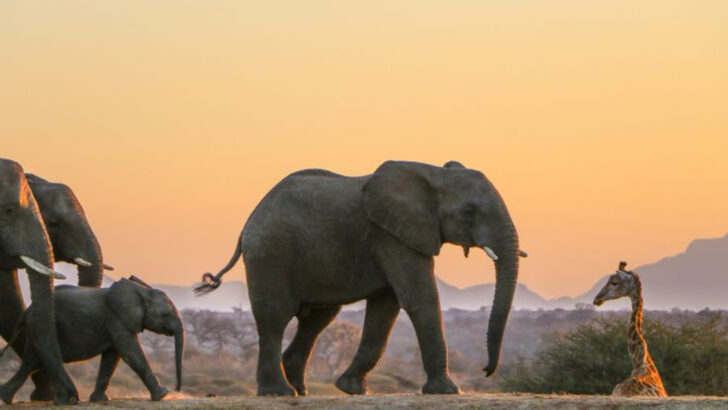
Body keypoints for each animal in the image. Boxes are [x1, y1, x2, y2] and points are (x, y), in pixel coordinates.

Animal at [0, 276, 184, 403]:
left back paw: (7, 397)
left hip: (37, 328)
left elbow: (112, 357)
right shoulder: (116, 317)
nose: (176, 389)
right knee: (38, 359)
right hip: (41, 325)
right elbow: (130, 353)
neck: (141, 291)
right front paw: (162, 394)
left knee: (32, 361)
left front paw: (99, 400)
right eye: (164, 315)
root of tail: (28, 310)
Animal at [197, 160, 526, 396]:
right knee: (274, 319)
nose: (485, 370)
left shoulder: (393, 236)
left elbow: (385, 309)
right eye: (469, 211)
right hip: (270, 255)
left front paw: (352, 389)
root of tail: (247, 224)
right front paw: (447, 391)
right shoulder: (393, 235)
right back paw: (278, 393)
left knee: (316, 320)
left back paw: (300, 391)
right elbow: (420, 298)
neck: (434, 174)